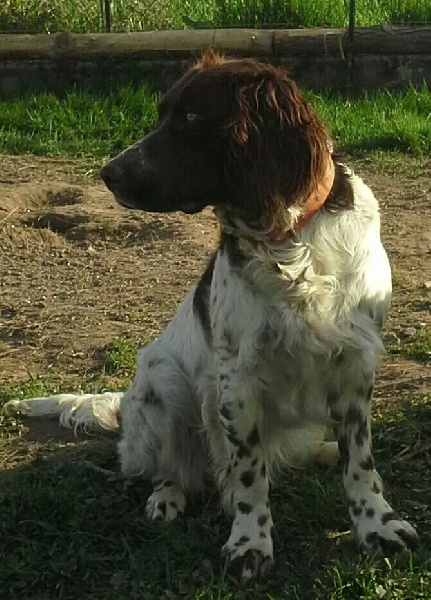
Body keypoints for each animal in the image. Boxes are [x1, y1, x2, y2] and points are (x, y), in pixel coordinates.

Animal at [9, 52, 418, 584]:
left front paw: (377, 525)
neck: (289, 244)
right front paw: (250, 543)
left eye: (190, 117)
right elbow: (248, 475)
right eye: (163, 113)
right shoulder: (236, 379)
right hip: (161, 383)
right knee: (170, 469)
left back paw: (322, 452)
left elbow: (361, 463)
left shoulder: (355, 363)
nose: (109, 172)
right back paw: (166, 497)